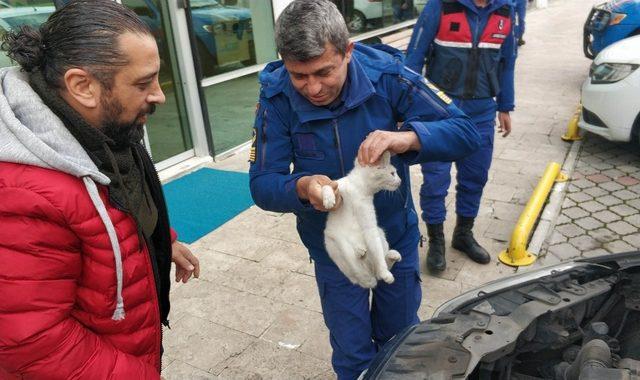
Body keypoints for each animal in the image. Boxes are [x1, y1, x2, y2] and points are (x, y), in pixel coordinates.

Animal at [322, 151, 402, 288]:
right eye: (393, 173)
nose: (400, 181)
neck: (359, 190)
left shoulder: (370, 226)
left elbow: (378, 255)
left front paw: (385, 273)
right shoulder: (338, 185)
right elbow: (327, 185)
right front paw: (328, 200)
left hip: (379, 232)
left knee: (376, 269)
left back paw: (388, 256)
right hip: (332, 245)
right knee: (357, 272)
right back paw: (360, 252)